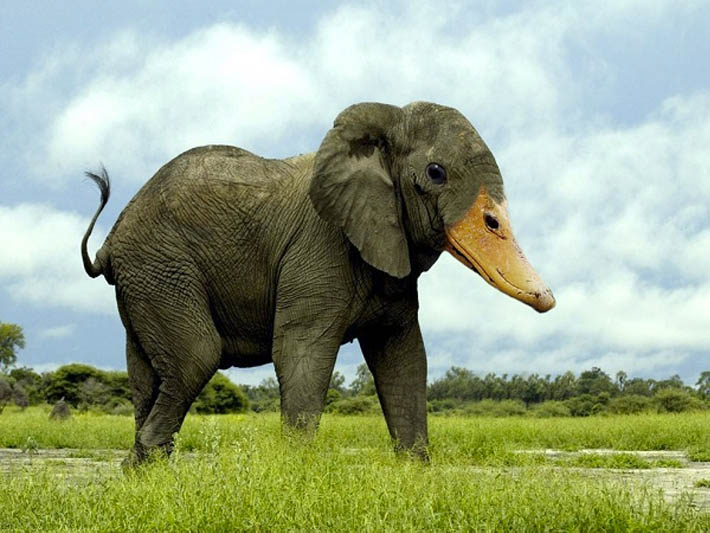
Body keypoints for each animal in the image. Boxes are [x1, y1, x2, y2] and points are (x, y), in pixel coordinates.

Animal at [81, 101, 554, 464]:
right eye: (436, 172)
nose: (547, 299)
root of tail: (111, 239)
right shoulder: (319, 248)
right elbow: (301, 352)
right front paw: (297, 477)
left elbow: (404, 359)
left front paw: (416, 475)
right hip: (161, 267)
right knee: (196, 357)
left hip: (146, 278)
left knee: (147, 374)